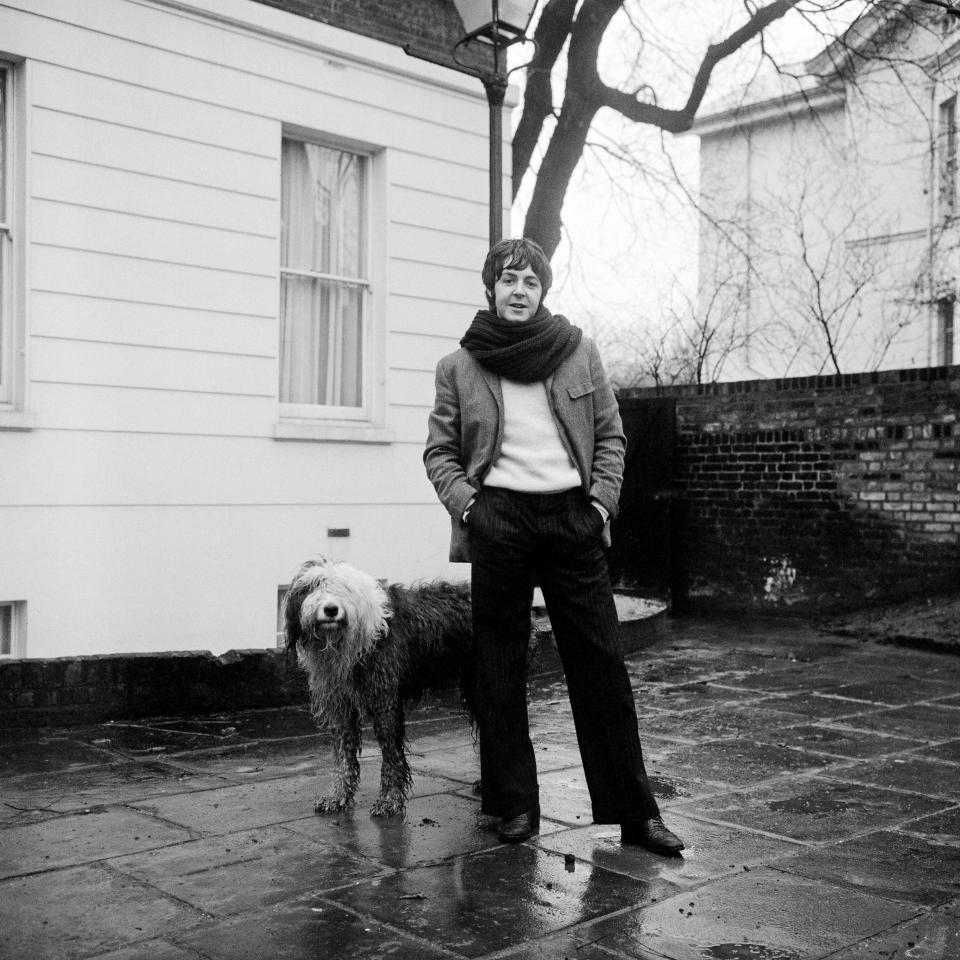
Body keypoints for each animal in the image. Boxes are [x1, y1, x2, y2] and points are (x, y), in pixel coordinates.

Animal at [284, 556, 480, 816]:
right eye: (312, 586)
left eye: (344, 588)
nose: (331, 609)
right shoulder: (341, 706)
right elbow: (343, 755)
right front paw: (338, 797)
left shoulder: (384, 700)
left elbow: (391, 754)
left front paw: (389, 800)